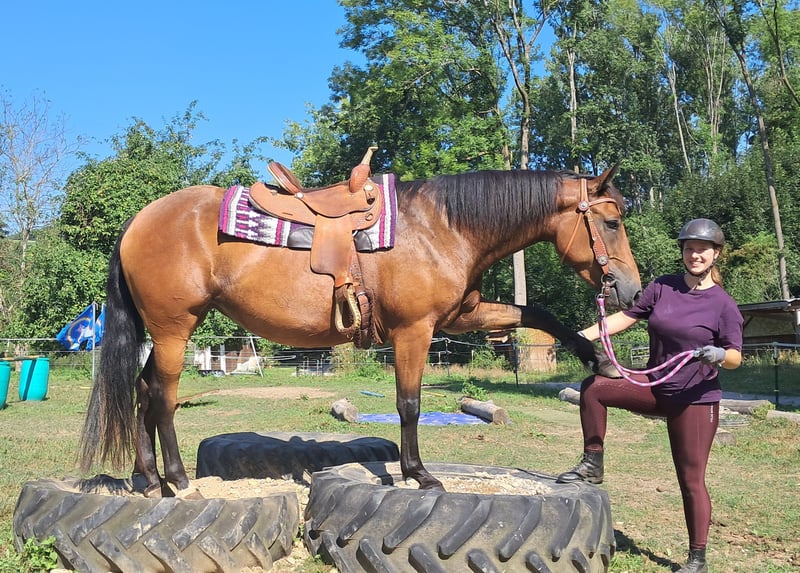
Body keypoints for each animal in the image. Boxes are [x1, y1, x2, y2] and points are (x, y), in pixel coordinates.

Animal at [79, 164, 641, 496]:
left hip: (167, 333)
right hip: (174, 329)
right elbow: (410, 404)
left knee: (142, 391)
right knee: (161, 397)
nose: (632, 291)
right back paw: (177, 480)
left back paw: (148, 478)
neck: (443, 227)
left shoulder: (460, 315)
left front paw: (599, 359)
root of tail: (138, 221)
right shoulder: (415, 330)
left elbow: (538, 315)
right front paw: (419, 474)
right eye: (612, 223)